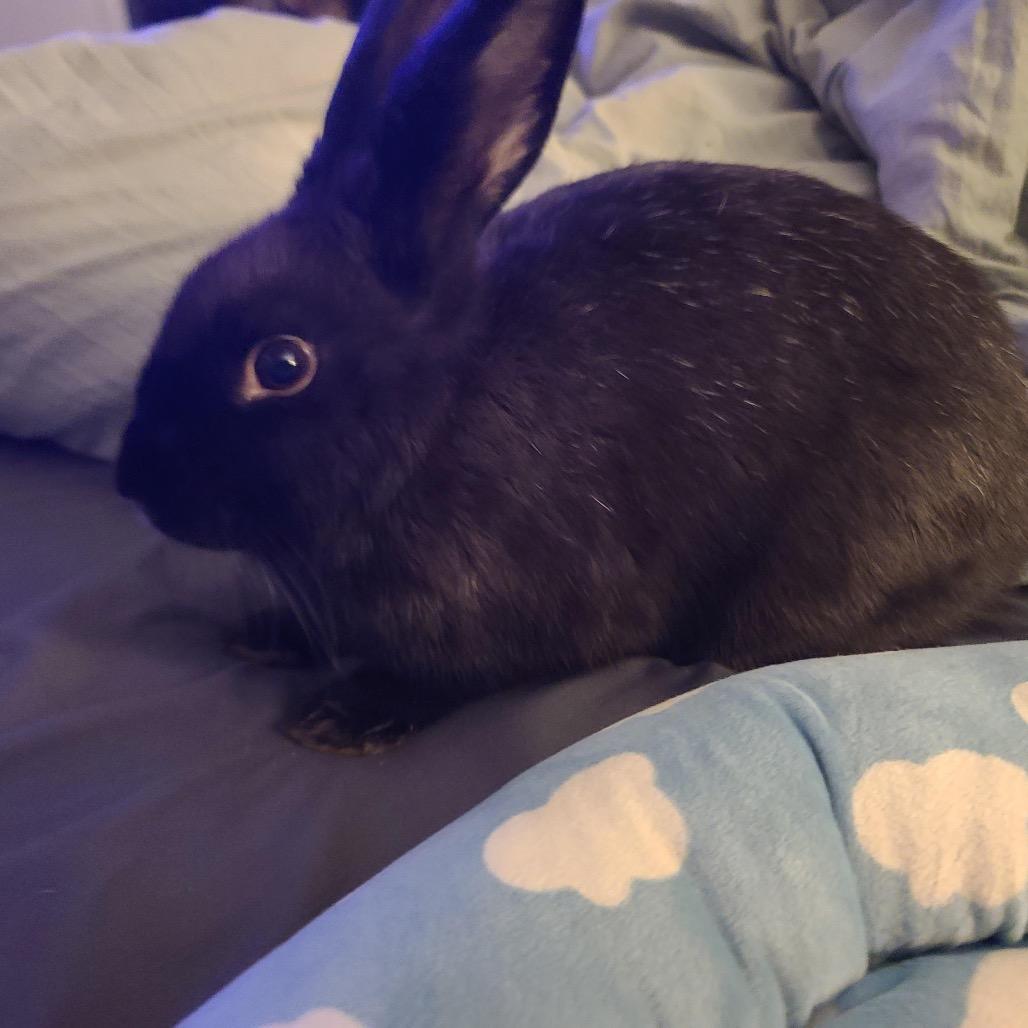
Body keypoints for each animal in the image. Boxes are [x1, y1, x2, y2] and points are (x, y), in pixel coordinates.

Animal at [116, 0, 1028, 754]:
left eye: (281, 365)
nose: (133, 483)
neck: (438, 413)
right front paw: (264, 634)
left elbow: (454, 676)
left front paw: (344, 716)